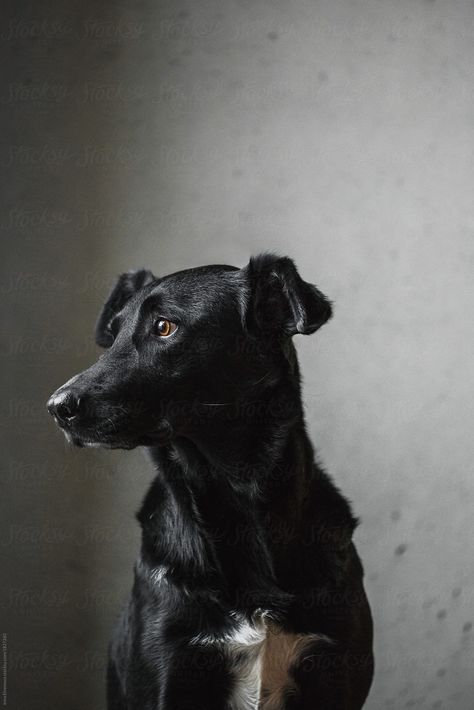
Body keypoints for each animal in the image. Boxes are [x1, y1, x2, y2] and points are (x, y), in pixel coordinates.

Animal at [48, 256, 374, 710]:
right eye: (112, 335)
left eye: (164, 326)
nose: (57, 407)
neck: (236, 499)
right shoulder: (172, 671)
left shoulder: (333, 672)